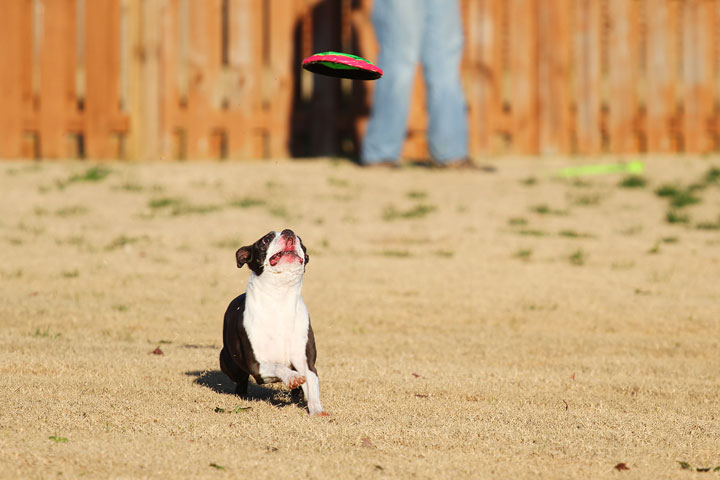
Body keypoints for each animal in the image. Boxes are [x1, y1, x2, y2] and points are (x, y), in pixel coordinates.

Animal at [217, 231, 324, 414]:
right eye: (266, 239)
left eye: (301, 241)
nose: (289, 231)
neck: (280, 296)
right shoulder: (258, 366)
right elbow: (278, 367)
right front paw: (292, 377)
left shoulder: (306, 362)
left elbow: (311, 382)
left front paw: (316, 409)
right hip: (228, 362)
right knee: (241, 379)